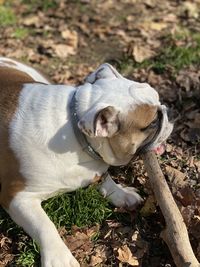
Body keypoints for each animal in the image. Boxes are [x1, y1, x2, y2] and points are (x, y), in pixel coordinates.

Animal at [0, 57, 172, 266]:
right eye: (153, 122)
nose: (167, 110)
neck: (76, 135)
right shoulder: (17, 197)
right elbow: (44, 224)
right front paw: (59, 257)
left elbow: (106, 180)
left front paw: (122, 193)